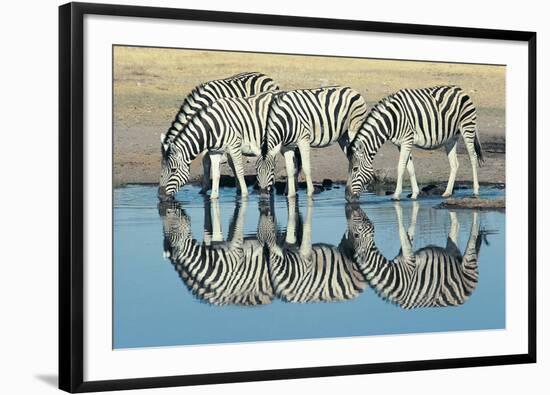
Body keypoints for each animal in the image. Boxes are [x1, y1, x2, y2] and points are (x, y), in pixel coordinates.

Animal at [348, 87, 486, 204]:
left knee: (473, 157)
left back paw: (475, 191)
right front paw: (414, 194)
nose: (347, 197)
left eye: (355, 169)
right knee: (454, 164)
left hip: (467, 127)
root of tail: (461, 90)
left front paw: (396, 195)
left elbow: (400, 167)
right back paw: (447, 192)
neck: (391, 121)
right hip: (451, 138)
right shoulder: (401, 144)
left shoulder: (406, 140)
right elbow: (410, 168)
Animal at [348, 203, 486, 310]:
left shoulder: (409, 260)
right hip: (453, 253)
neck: (393, 276)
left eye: (356, 232)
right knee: (456, 228)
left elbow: (402, 230)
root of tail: (464, 298)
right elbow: (406, 234)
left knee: (473, 237)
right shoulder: (406, 257)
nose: (352, 209)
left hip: (469, 261)